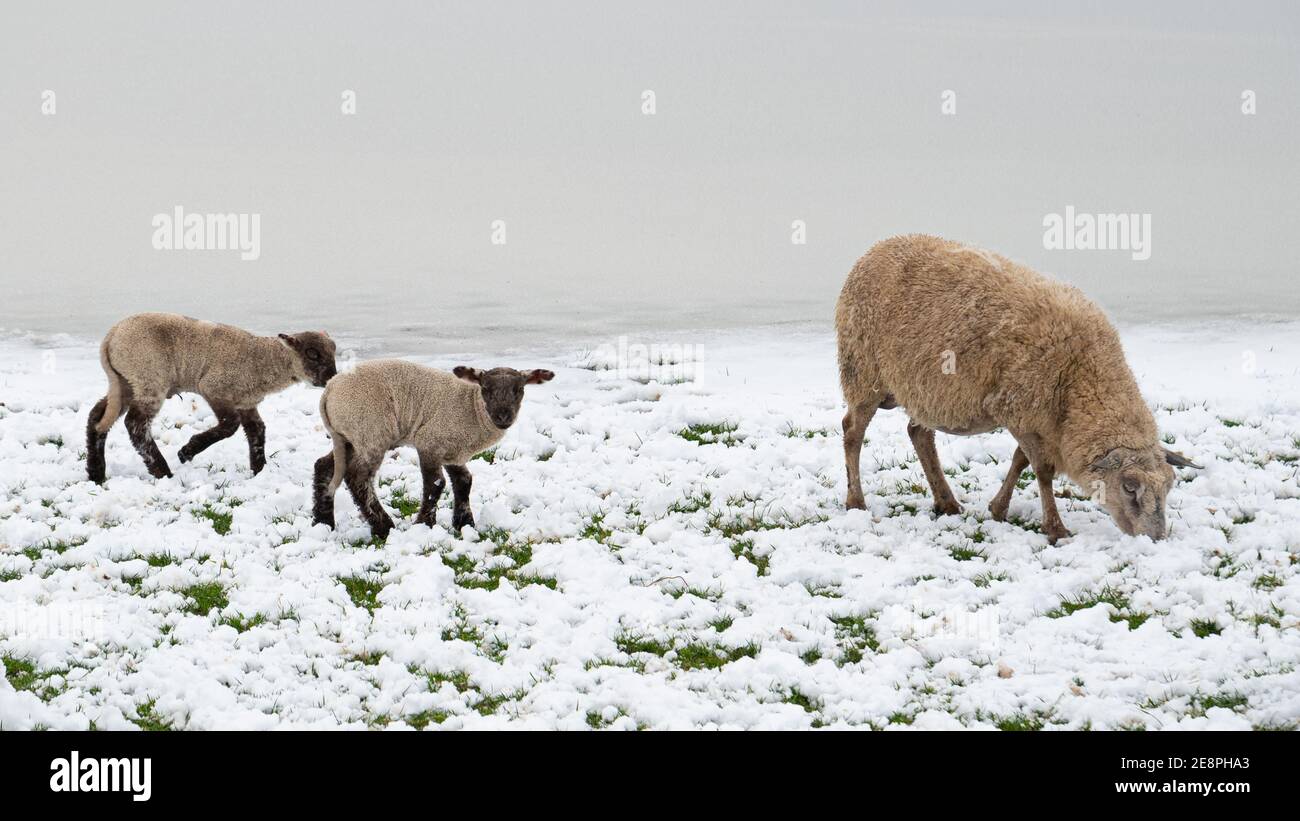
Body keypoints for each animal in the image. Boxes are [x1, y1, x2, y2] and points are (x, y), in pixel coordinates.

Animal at [86, 312, 337, 482]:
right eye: (312, 354)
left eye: (334, 350)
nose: (331, 377)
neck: (263, 359)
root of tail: (110, 337)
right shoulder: (214, 388)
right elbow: (229, 425)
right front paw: (186, 451)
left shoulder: (246, 401)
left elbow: (257, 431)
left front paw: (259, 470)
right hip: (149, 377)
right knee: (135, 424)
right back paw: (162, 471)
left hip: (125, 382)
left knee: (97, 418)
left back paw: (95, 472)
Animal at [311, 360, 555, 538]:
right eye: (485, 388)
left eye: (519, 389)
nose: (503, 417)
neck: (472, 408)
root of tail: (329, 391)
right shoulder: (430, 442)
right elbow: (436, 484)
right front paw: (424, 524)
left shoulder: (454, 453)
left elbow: (464, 482)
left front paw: (464, 524)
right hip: (370, 431)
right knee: (358, 477)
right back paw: (383, 527)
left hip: (348, 437)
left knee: (324, 466)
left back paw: (323, 522)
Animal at [836, 234, 1200, 543]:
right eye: (1129, 486)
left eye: (1170, 485)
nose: (1155, 538)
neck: (1082, 377)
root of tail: (874, 250)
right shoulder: (1020, 408)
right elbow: (1042, 470)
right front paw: (1055, 528)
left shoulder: (1036, 419)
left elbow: (1019, 460)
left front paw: (999, 508)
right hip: (862, 371)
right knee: (852, 431)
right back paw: (856, 501)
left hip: (925, 390)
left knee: (919, 434)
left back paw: (946, 502)